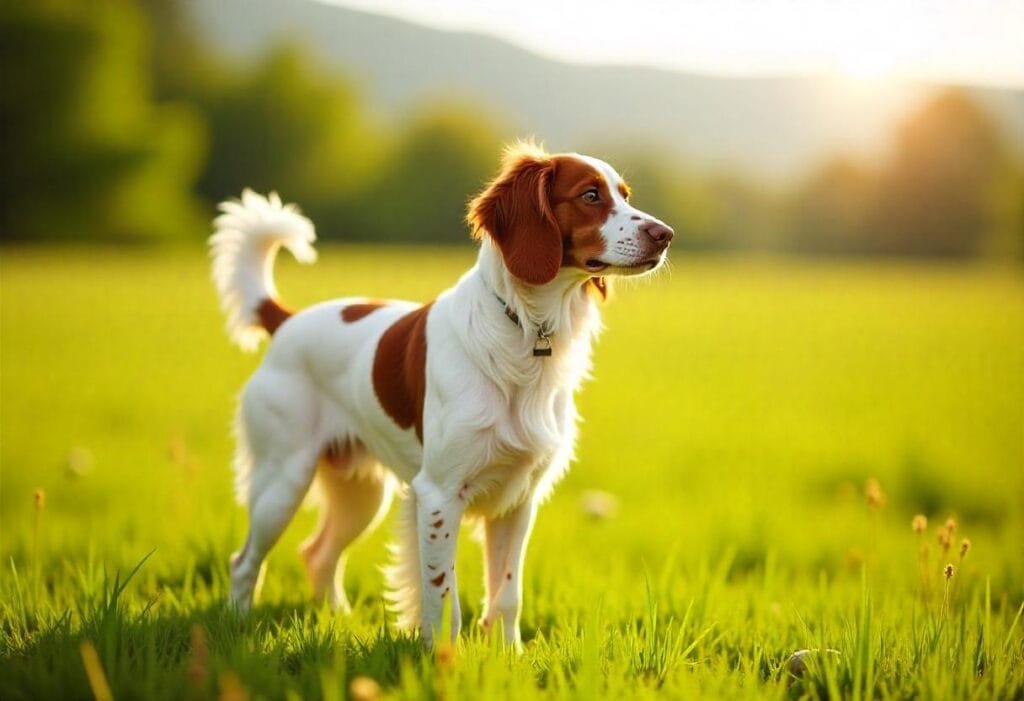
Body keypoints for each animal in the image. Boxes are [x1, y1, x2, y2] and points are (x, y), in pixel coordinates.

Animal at [209, 142, 671, 646]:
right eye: (590, 195)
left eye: (625, 194)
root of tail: (287, 320)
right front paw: (442, 656)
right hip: (283, 479)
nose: (665, 234)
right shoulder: (438, 494)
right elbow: (442, 594)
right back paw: (236, 626)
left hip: (361, 493)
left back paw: (336, 617)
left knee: (318, 553)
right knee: (243, 561)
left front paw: (508, 655)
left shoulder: (519, 499)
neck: (525, 330)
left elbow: (507, 594)